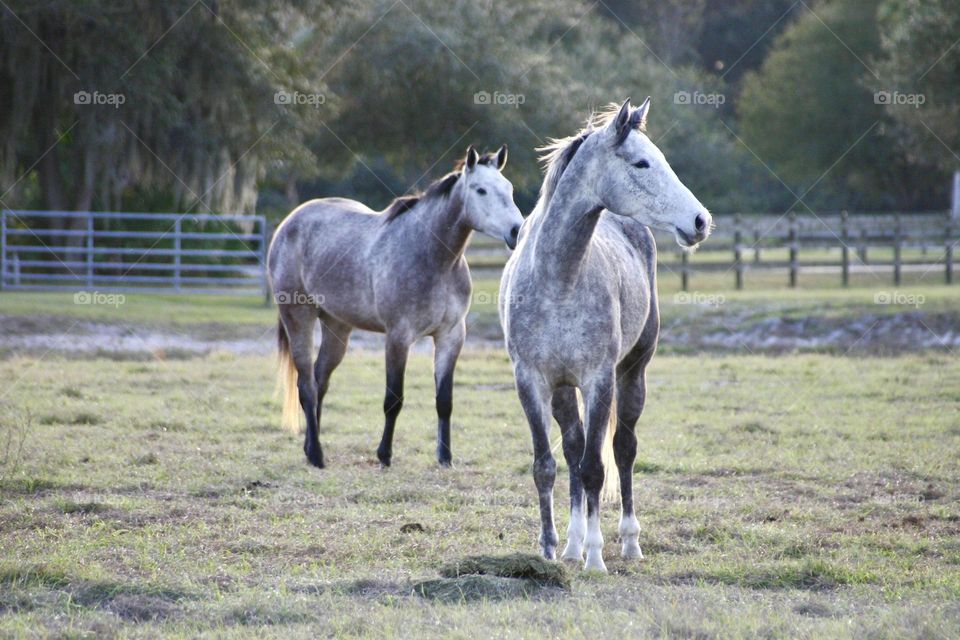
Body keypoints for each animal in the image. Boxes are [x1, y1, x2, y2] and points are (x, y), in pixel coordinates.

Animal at [270, 145, 524, 468]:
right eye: (481, 190)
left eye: (509, 188)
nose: (517, 231)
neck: (434, 258)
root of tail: (288, 223)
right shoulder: (398, 337)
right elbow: (394, 399)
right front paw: (384, 455)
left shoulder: (451, 336)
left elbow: (445, 401)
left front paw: (445, 457)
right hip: (298, 318)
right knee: (306, 387)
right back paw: (316, 454)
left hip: (337, 326)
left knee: (319, 381)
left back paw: (309, 448)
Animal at [502, 101, 712, 576]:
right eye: (641, 163)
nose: (701, 221)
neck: (557, 279)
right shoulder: (532, 381)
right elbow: (547, 465)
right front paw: (549, 548)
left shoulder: (599, 379)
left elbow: (596, 469)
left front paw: (596, 558)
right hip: (565, 390)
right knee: (573, 450)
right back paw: (572, 545)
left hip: (632, 373)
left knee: (623, 449)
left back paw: (628, 542)